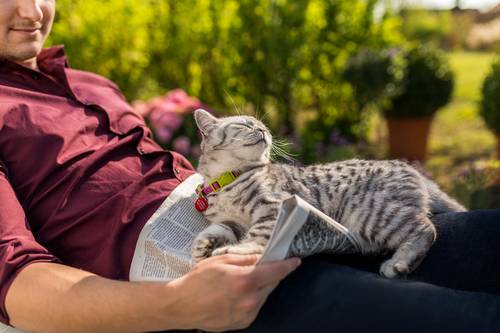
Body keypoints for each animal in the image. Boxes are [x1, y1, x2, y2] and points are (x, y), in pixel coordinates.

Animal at [190, 109, 464, 278]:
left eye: (263, 126)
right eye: (244, 124)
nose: (263, 132)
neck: (226, 180)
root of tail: (412, 169)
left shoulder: (274, 207)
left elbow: (257, 238)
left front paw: (232, 251)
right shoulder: (232, 221)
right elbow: (215, 230)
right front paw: (202, 248)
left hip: (371, 216)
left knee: (426, 228)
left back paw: (399, 264)